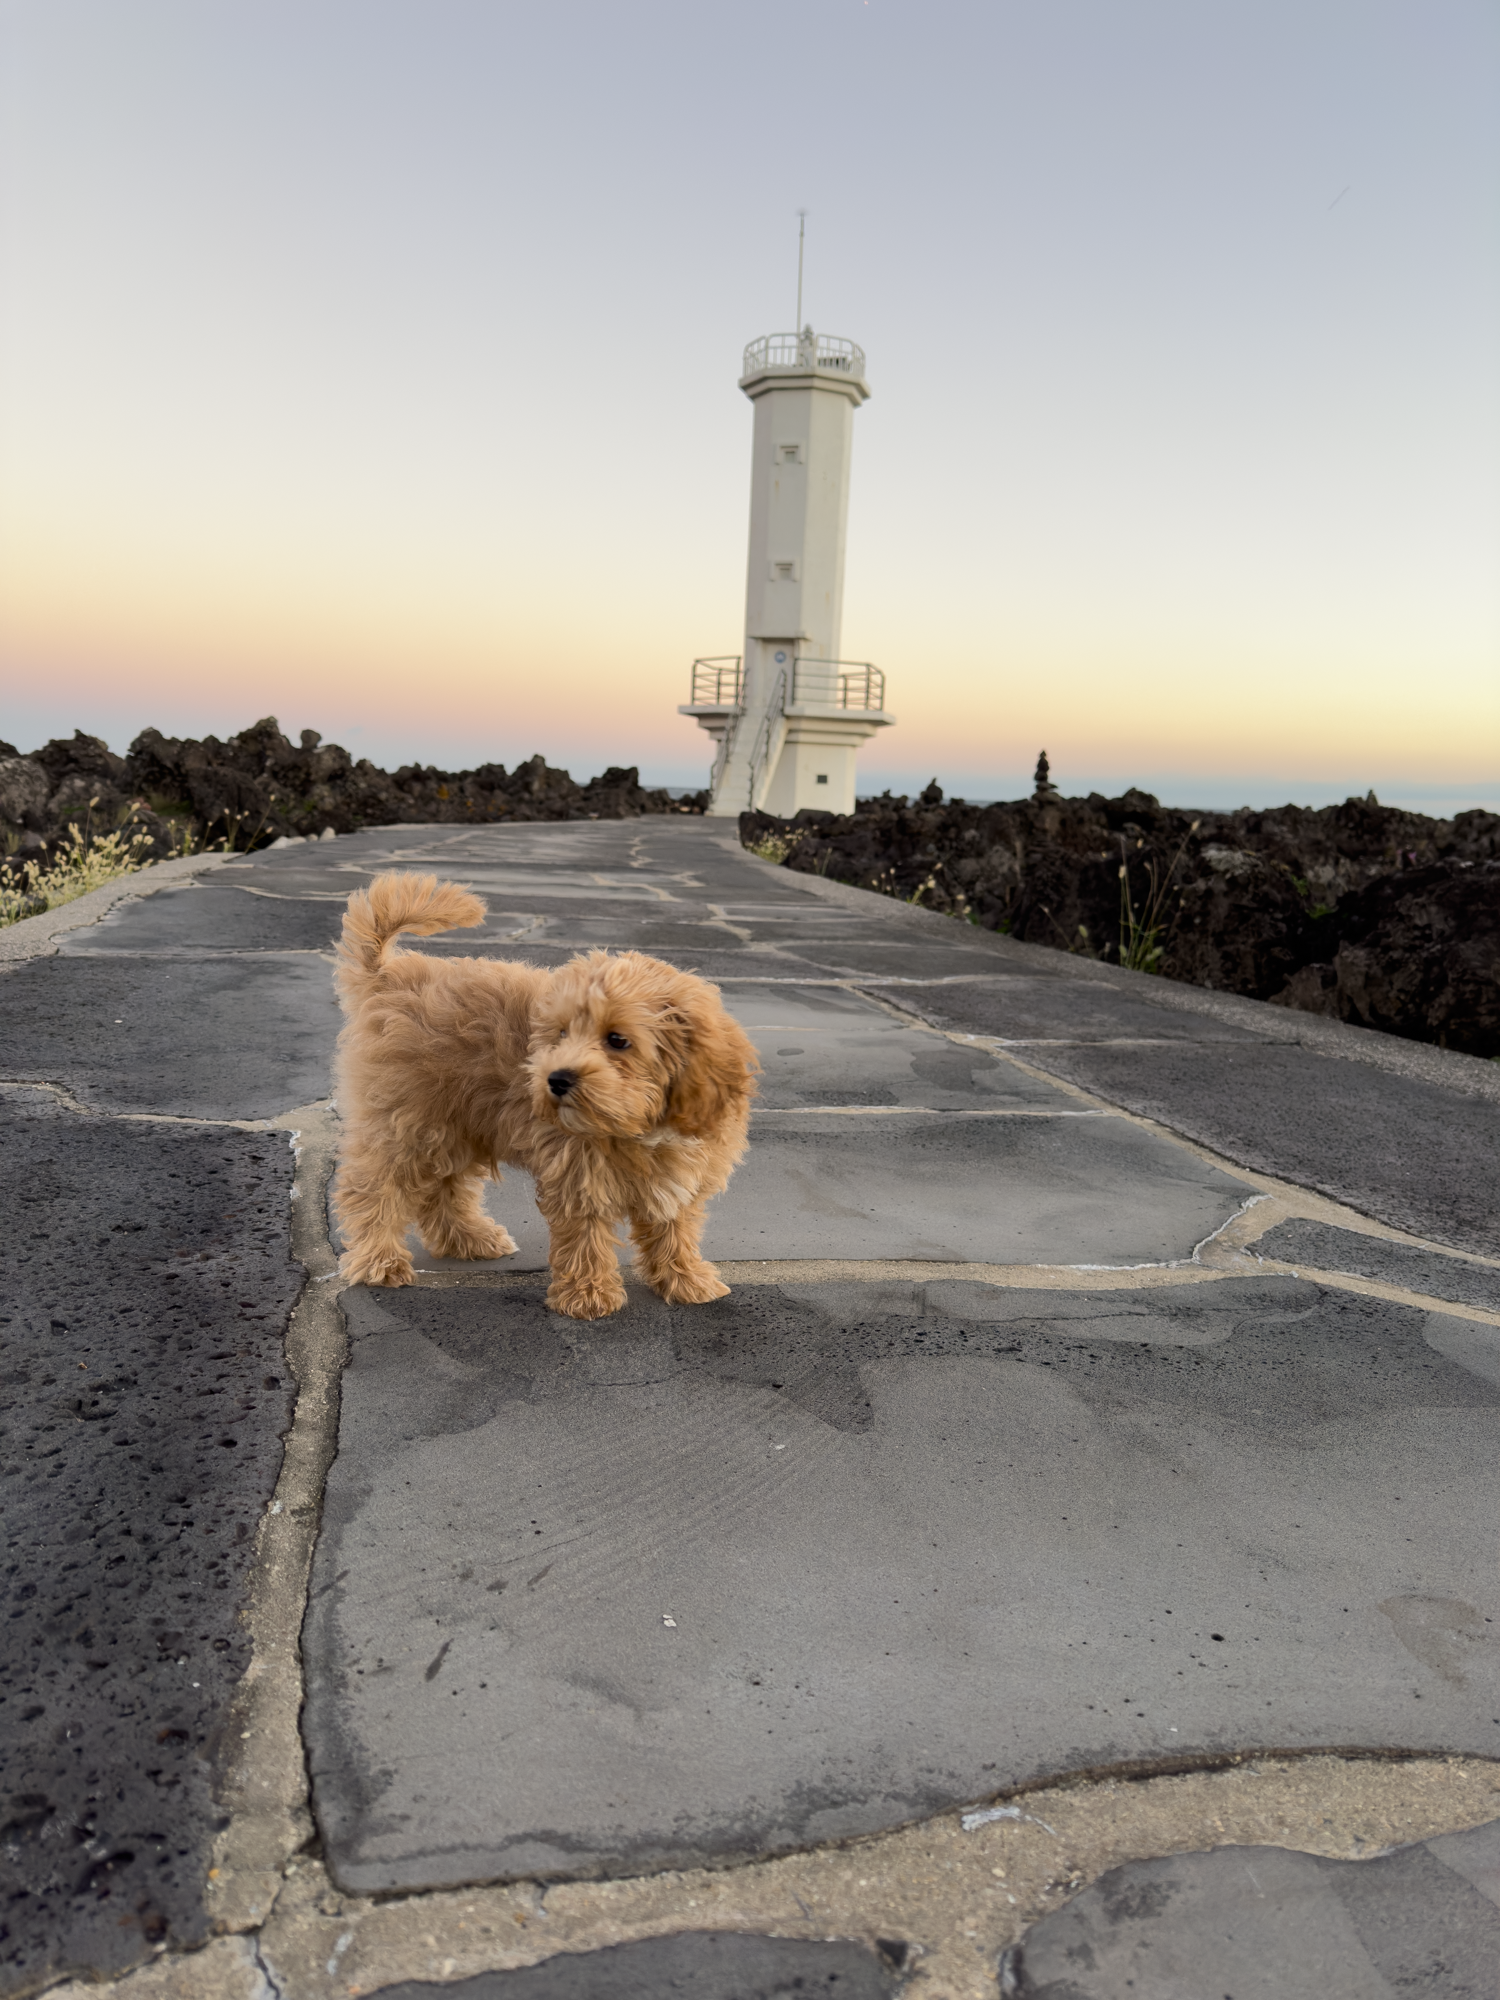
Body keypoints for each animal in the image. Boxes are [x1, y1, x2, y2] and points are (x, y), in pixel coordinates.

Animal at [331, 872, 758, 1319]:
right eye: (561, 1034)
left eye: (618, 1040)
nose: (556, 1079)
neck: (640, 1126)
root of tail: (387, 978)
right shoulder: (578, 1174)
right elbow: (584, 1236)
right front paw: (588, 1295)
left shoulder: (679, 1179)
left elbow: (675, 1229)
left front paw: (686, 1279)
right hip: (407, 1119)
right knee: (372, 1186)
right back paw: (379, 1259)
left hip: (458, 1122)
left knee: (443, 1188)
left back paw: (470, 1238)